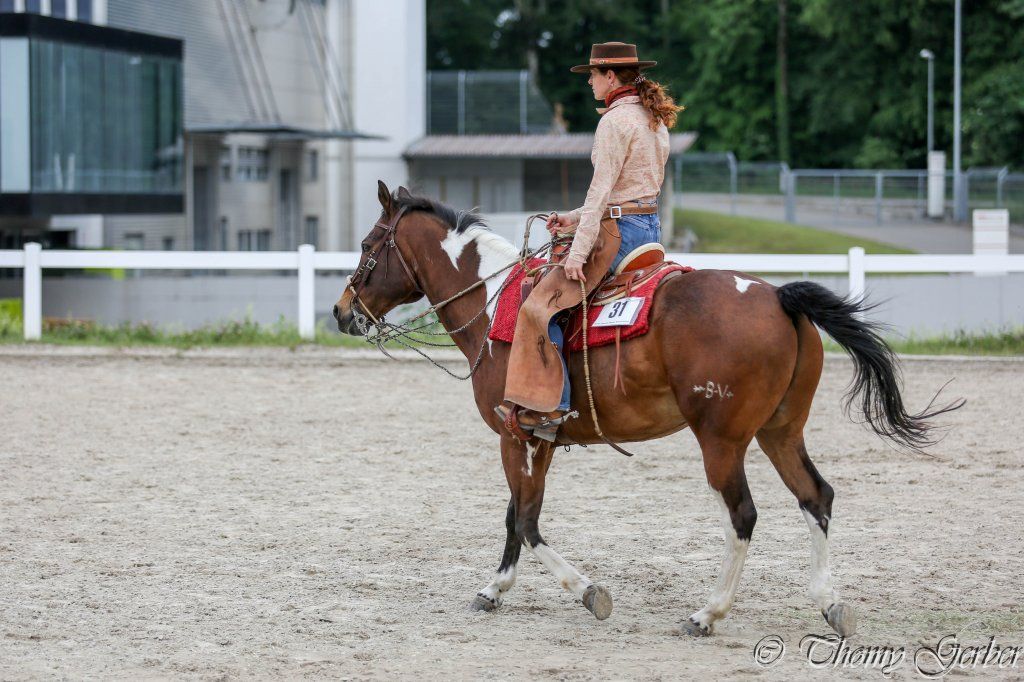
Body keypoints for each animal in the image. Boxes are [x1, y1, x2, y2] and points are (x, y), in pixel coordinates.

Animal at [333, 181, 962, 636]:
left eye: (366, 246)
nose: (342, 312)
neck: (494, 306)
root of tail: (778, 296)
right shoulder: (538, 439)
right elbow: (516, 516)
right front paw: (494, 590)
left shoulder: (515, 437)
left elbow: (528, 521)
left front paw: (590, 593)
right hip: (780, 431)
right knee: (816, 497)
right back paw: (830, 603)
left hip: (722, 442)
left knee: (743, 515)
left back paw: (707, 613)